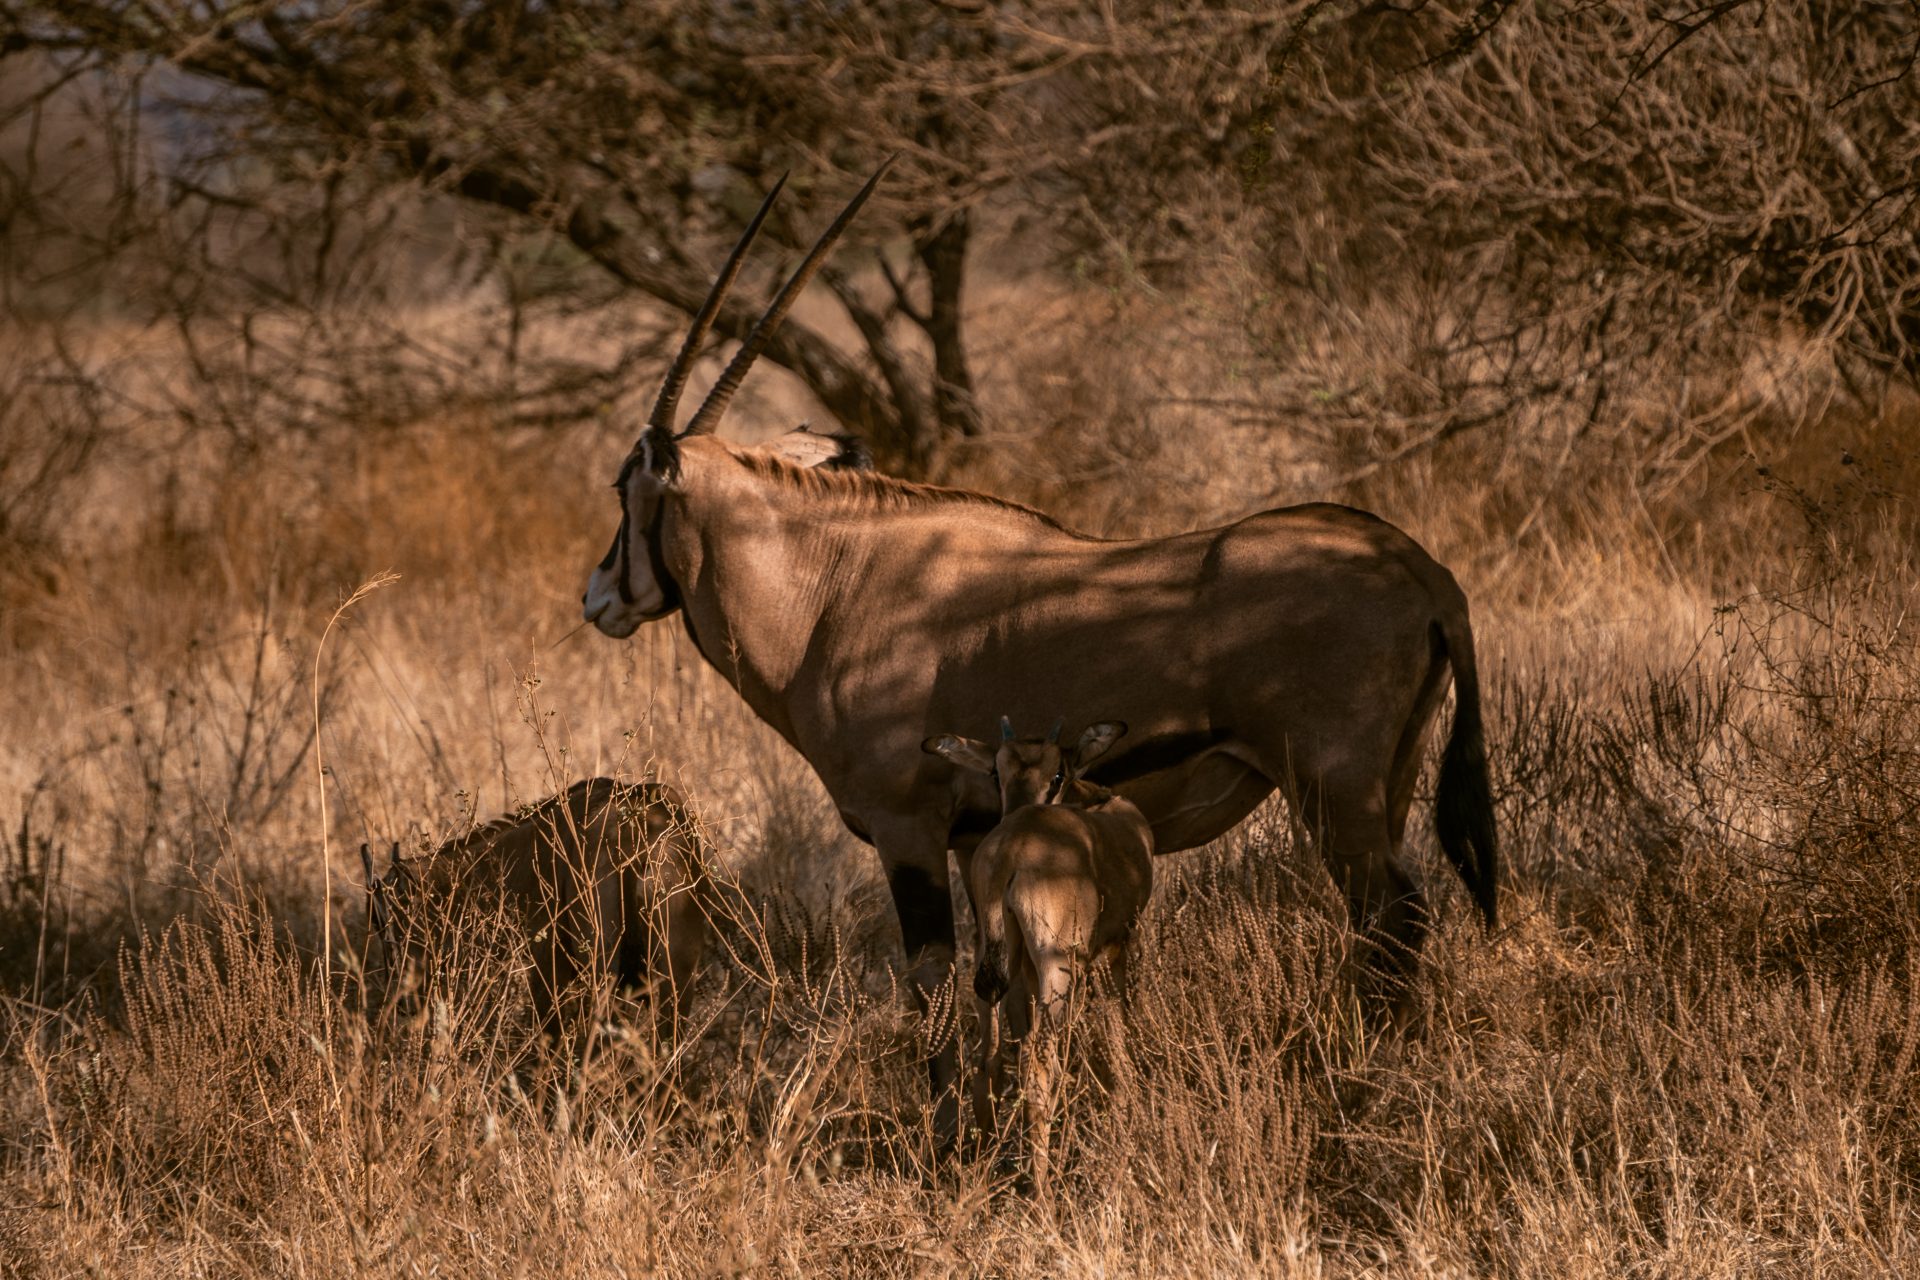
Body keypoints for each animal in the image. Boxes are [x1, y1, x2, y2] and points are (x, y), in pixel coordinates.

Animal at [362, 771, 710, 1059]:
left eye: (382, 922)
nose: (400, 1000)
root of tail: (640, 824)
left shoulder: (547, 965)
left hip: (602, 973)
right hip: (675, 980)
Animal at [576, 165, 1505, 1136]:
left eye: (623, 487)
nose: (598, 597)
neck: (832, 585)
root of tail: (1417, 564)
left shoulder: (907, 830)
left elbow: (931, 983)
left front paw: (949, 1127)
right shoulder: (971, 843)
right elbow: (996, 992)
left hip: (1334, 792)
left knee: (1391, 918)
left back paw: (1370, 1078)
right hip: (1388, 783)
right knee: (1394, 921)